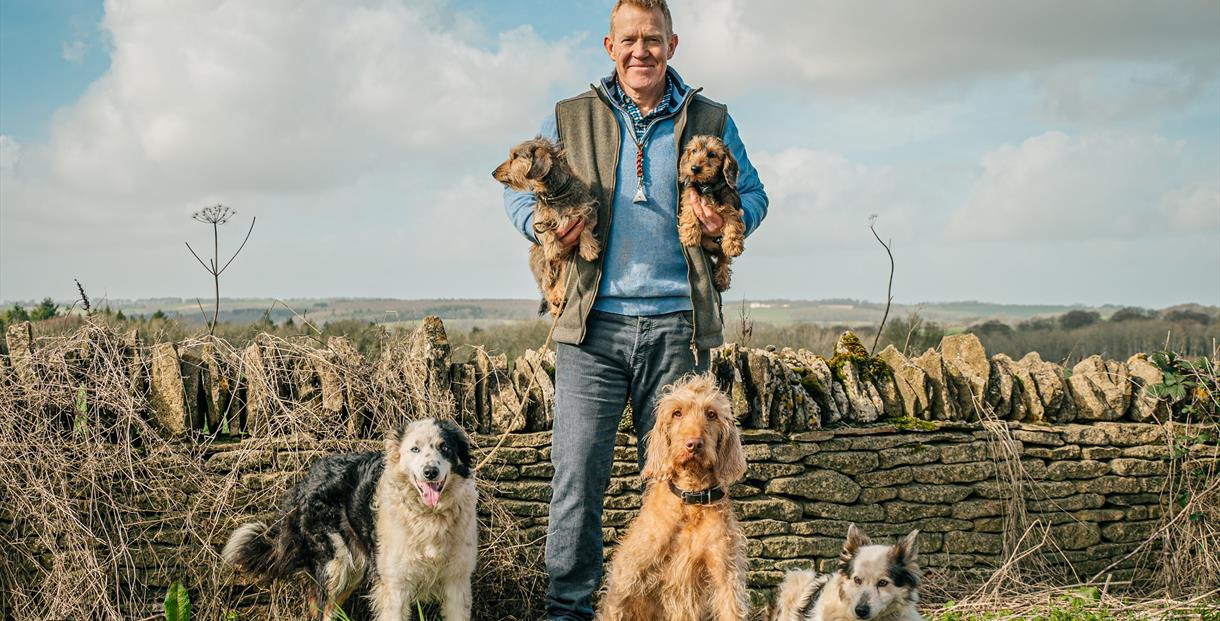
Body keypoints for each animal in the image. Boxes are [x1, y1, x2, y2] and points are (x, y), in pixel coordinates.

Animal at [223, 417, 475, 619]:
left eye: (445, 447)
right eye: (415, 449)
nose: (430, 472)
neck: (428, 516)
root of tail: (306, 480)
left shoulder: (457, 583)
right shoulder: (394, 586)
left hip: (352, 569)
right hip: (335, 564)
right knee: (322, 610)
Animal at [490, 138, 595, 317]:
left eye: (515, 156)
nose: (493, 172)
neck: (555, 194)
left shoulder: (585, 207)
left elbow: (586, 224)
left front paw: (589, 249)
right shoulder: (540, 221)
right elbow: (548, 233)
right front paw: (553, 247)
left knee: (559, 280)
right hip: (540, 261)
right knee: (547, 285)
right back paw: (555, 300)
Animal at [595, 373, 746, 619]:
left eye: (711, 414)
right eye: (677, 413)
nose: (693, 444)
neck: (691, 500)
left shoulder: (725, 576)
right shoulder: (628, 576)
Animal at [678, 133, 741, 292]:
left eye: (712, 154)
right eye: (694, 151)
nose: (694, 168)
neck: (708, 187)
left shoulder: (731, 206)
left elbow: (733, 223)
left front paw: (733, 245)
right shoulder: (690, 196)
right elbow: (689, 211)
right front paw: (689, 234)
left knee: (723, 257)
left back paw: (722, 278)